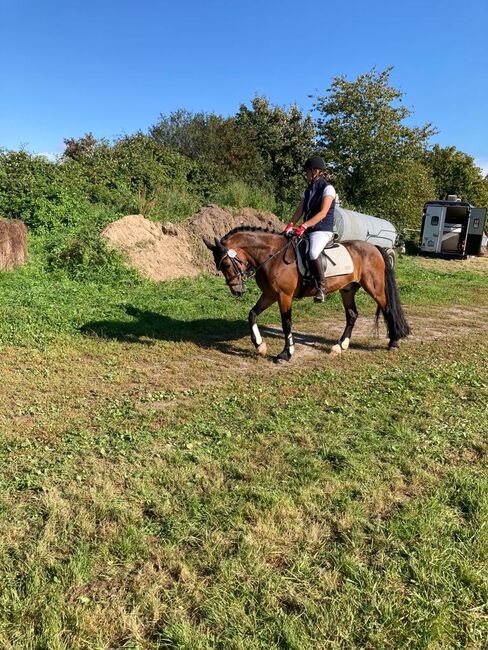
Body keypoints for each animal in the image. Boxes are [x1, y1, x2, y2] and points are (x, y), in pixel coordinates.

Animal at [204, 227, 410, 360]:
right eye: (220, 266)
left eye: (227, 264)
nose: (237, 290)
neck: (272, 255)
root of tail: (374, 247)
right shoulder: (270, 295)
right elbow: (252, 314)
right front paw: (260, 346)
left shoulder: (284, 296)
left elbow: (286, 323)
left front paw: (286, 353)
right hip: (347, 290)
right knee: (352, 314)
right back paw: (339, 346)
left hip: (375, 288)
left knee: (388, 309)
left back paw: (393, 343)